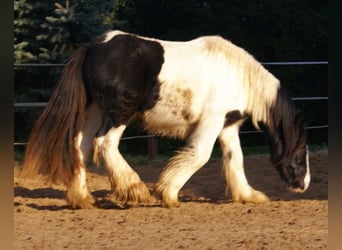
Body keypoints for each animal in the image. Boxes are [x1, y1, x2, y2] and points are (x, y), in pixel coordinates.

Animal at [21, 29, 310, 209]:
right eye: (301, 150)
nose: (304, 185)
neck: (237, 75)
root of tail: (93, 47)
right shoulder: (212, 122)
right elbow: (200, 156)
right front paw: (167, 193)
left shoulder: (227, 126)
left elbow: (234, 159)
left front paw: (249, 195)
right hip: (119, 112)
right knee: (105, 144)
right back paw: (135, 189)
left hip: (95, 110)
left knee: (80, 146)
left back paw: (81, 198)